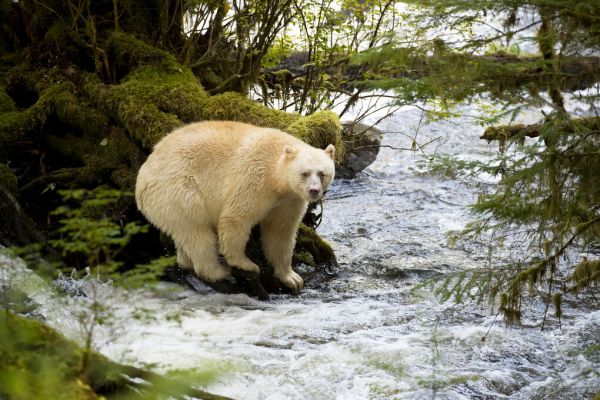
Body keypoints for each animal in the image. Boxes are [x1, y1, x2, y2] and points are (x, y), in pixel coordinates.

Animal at [134, 119, 336, 290]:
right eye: (304, 173)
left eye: (322, 173)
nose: (314, 191)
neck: (277, 179)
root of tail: (141, 180)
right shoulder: (255, 178)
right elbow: (236, 218)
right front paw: (247, 264)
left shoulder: (289, 200)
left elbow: (281, 232)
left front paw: (292, 277)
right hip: (179, 190)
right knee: (197, 232)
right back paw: (217, 271)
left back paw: (186, 262)